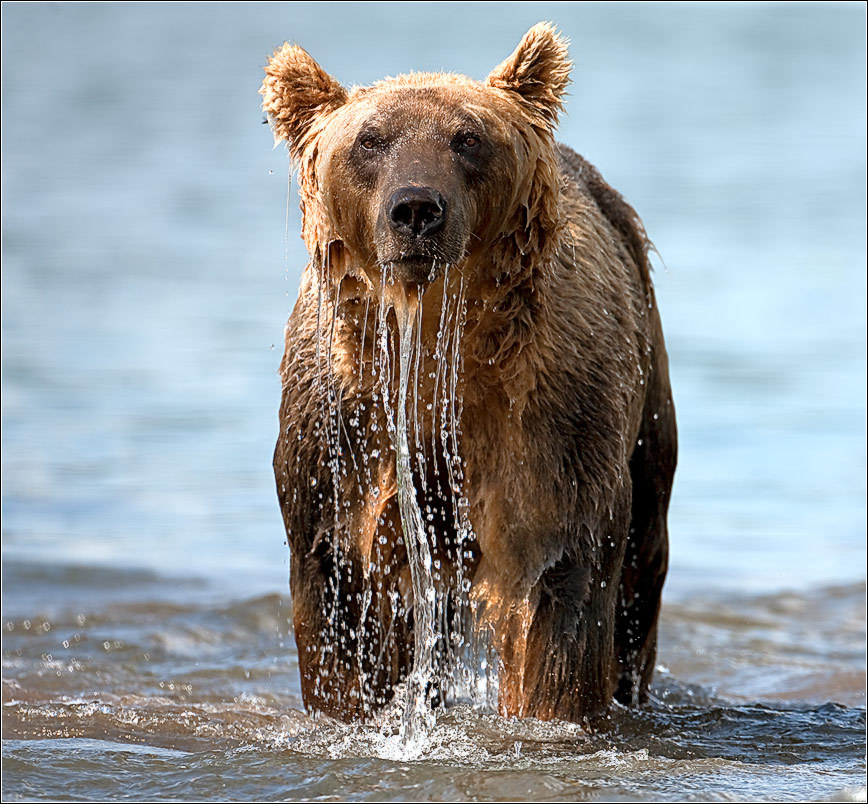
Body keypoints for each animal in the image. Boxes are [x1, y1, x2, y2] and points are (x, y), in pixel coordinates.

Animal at [264, 22, 680, 724]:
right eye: (370, 140)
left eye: (468, 138)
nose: (416, 208)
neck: (439, 352)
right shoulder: (342, 428)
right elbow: (338, 591)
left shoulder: (553, 424)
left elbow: (564, 584)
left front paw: (551, 714)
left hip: (647, 390)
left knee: (641, 562)